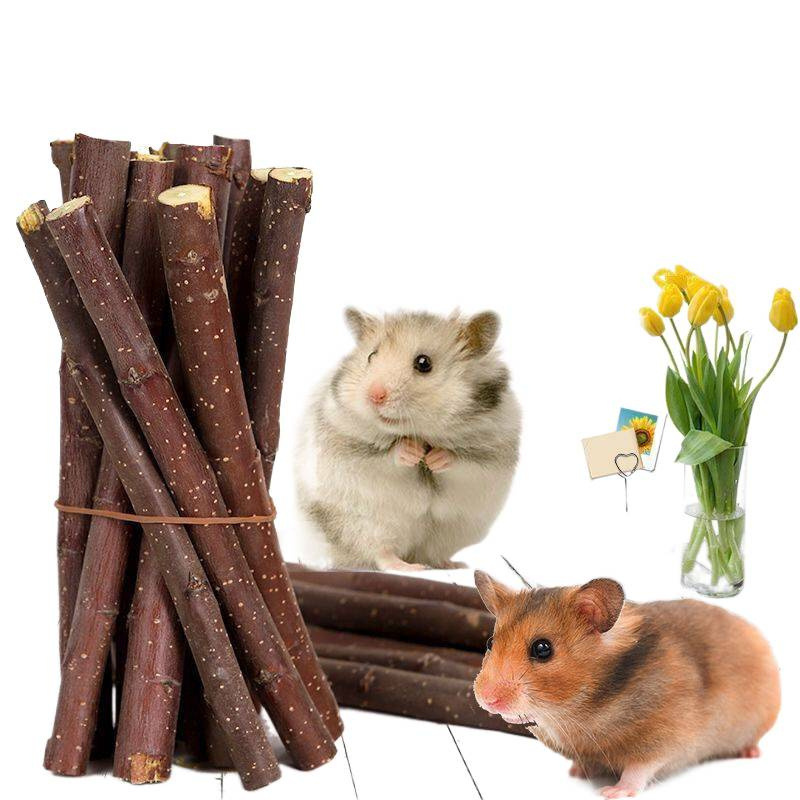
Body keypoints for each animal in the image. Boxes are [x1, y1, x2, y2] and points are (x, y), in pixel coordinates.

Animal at [294, 309, 521, 571]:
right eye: (371, 356)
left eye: (423, 363)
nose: (374, 396)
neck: (421, 431)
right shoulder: (350, 445)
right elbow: (386, 455)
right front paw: (412, 451)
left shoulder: (491, 452)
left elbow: (460, 460)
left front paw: (434, 458)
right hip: (365, 524)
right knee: (381, 553)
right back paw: (408, 567)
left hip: (450, 532)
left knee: (431, 554)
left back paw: (453, 565)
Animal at [472, 571, 780, 798]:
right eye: (490, 643)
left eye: (542, 649)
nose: (486, 699)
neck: (577, 712)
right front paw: (577, 772)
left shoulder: (666, 737)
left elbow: (639, 768)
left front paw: (612, 792)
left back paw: (750, 752)